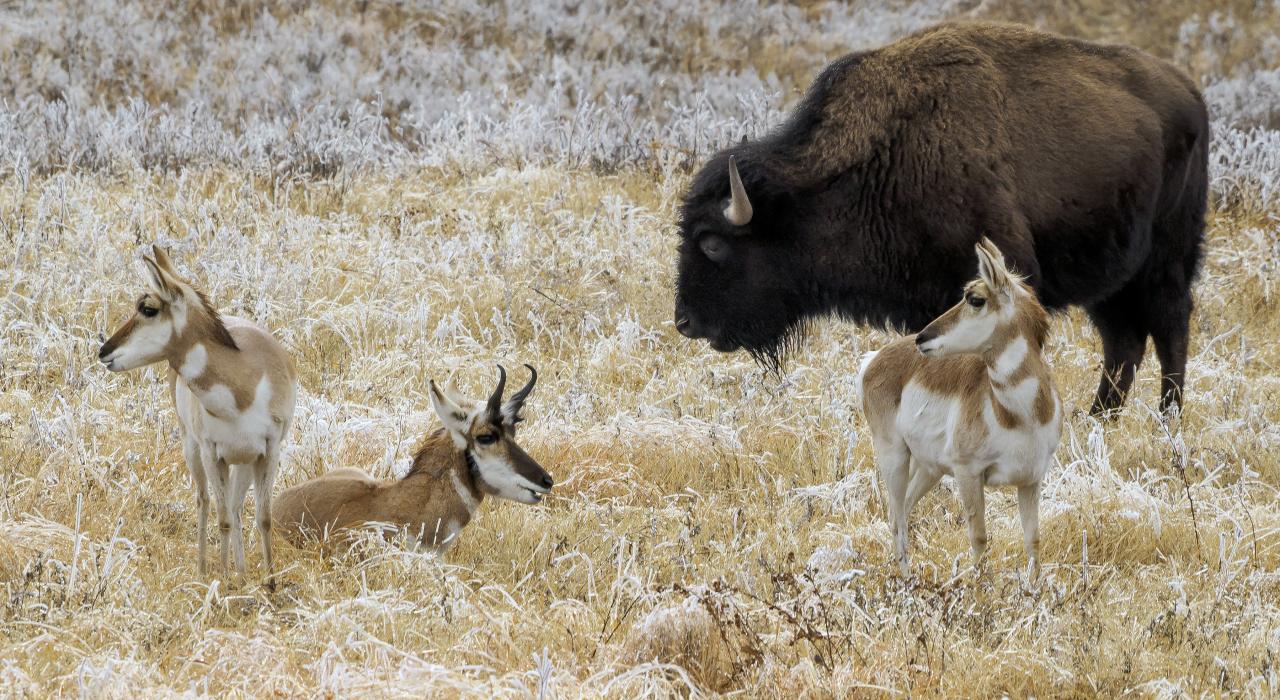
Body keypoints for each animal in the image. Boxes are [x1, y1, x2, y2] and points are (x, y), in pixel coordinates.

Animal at [673, 22, 1208, 415]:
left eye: (713, 242)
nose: (685, 321)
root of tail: (1190, 91)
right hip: (1111, 280)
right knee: (1124, 343)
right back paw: (1099, 418)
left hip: (1165, 262)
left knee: (1169, 328)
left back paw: (1168, 419)